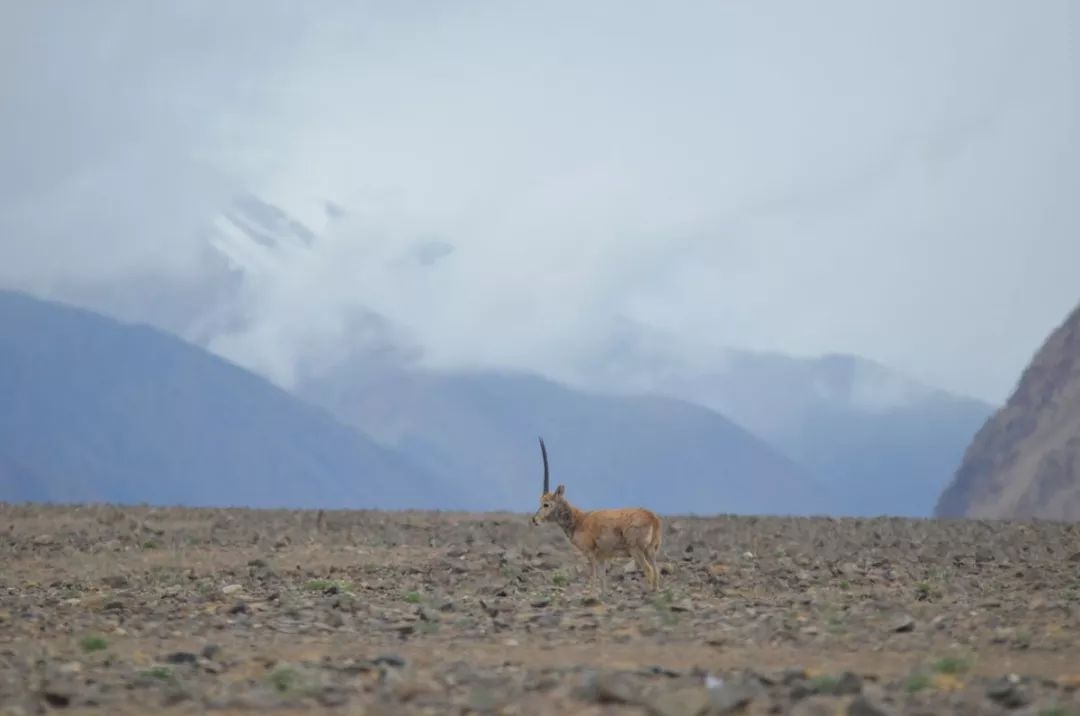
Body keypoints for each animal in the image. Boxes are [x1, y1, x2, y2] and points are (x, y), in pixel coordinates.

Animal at [527, 436, 660, 591]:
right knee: (656, 571)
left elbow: (593, 579)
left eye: (546, 504)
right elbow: (602, 580)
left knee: (649, 570)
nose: (534, 520)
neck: (579, 520)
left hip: (637, 550)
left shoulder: (591, 555)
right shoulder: (601, 557)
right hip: (651, 551)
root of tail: (652, 518)